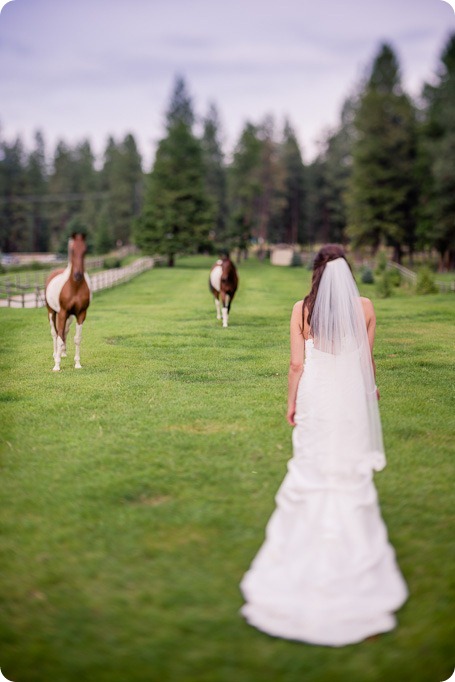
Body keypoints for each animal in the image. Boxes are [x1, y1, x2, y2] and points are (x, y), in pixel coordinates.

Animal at [44, 234, 91, 372]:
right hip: (51, 312)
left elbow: (77, 338)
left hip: (68, 317)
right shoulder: (62, 313)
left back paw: (63, 353)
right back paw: (56, 354)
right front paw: (57, 365)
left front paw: (77, 364)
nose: (78, 275)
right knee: (55, 333)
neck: (74, 287)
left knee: (65, 331)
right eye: (72, 250)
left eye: (85, 250)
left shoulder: (81, 314)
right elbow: (59, 337)